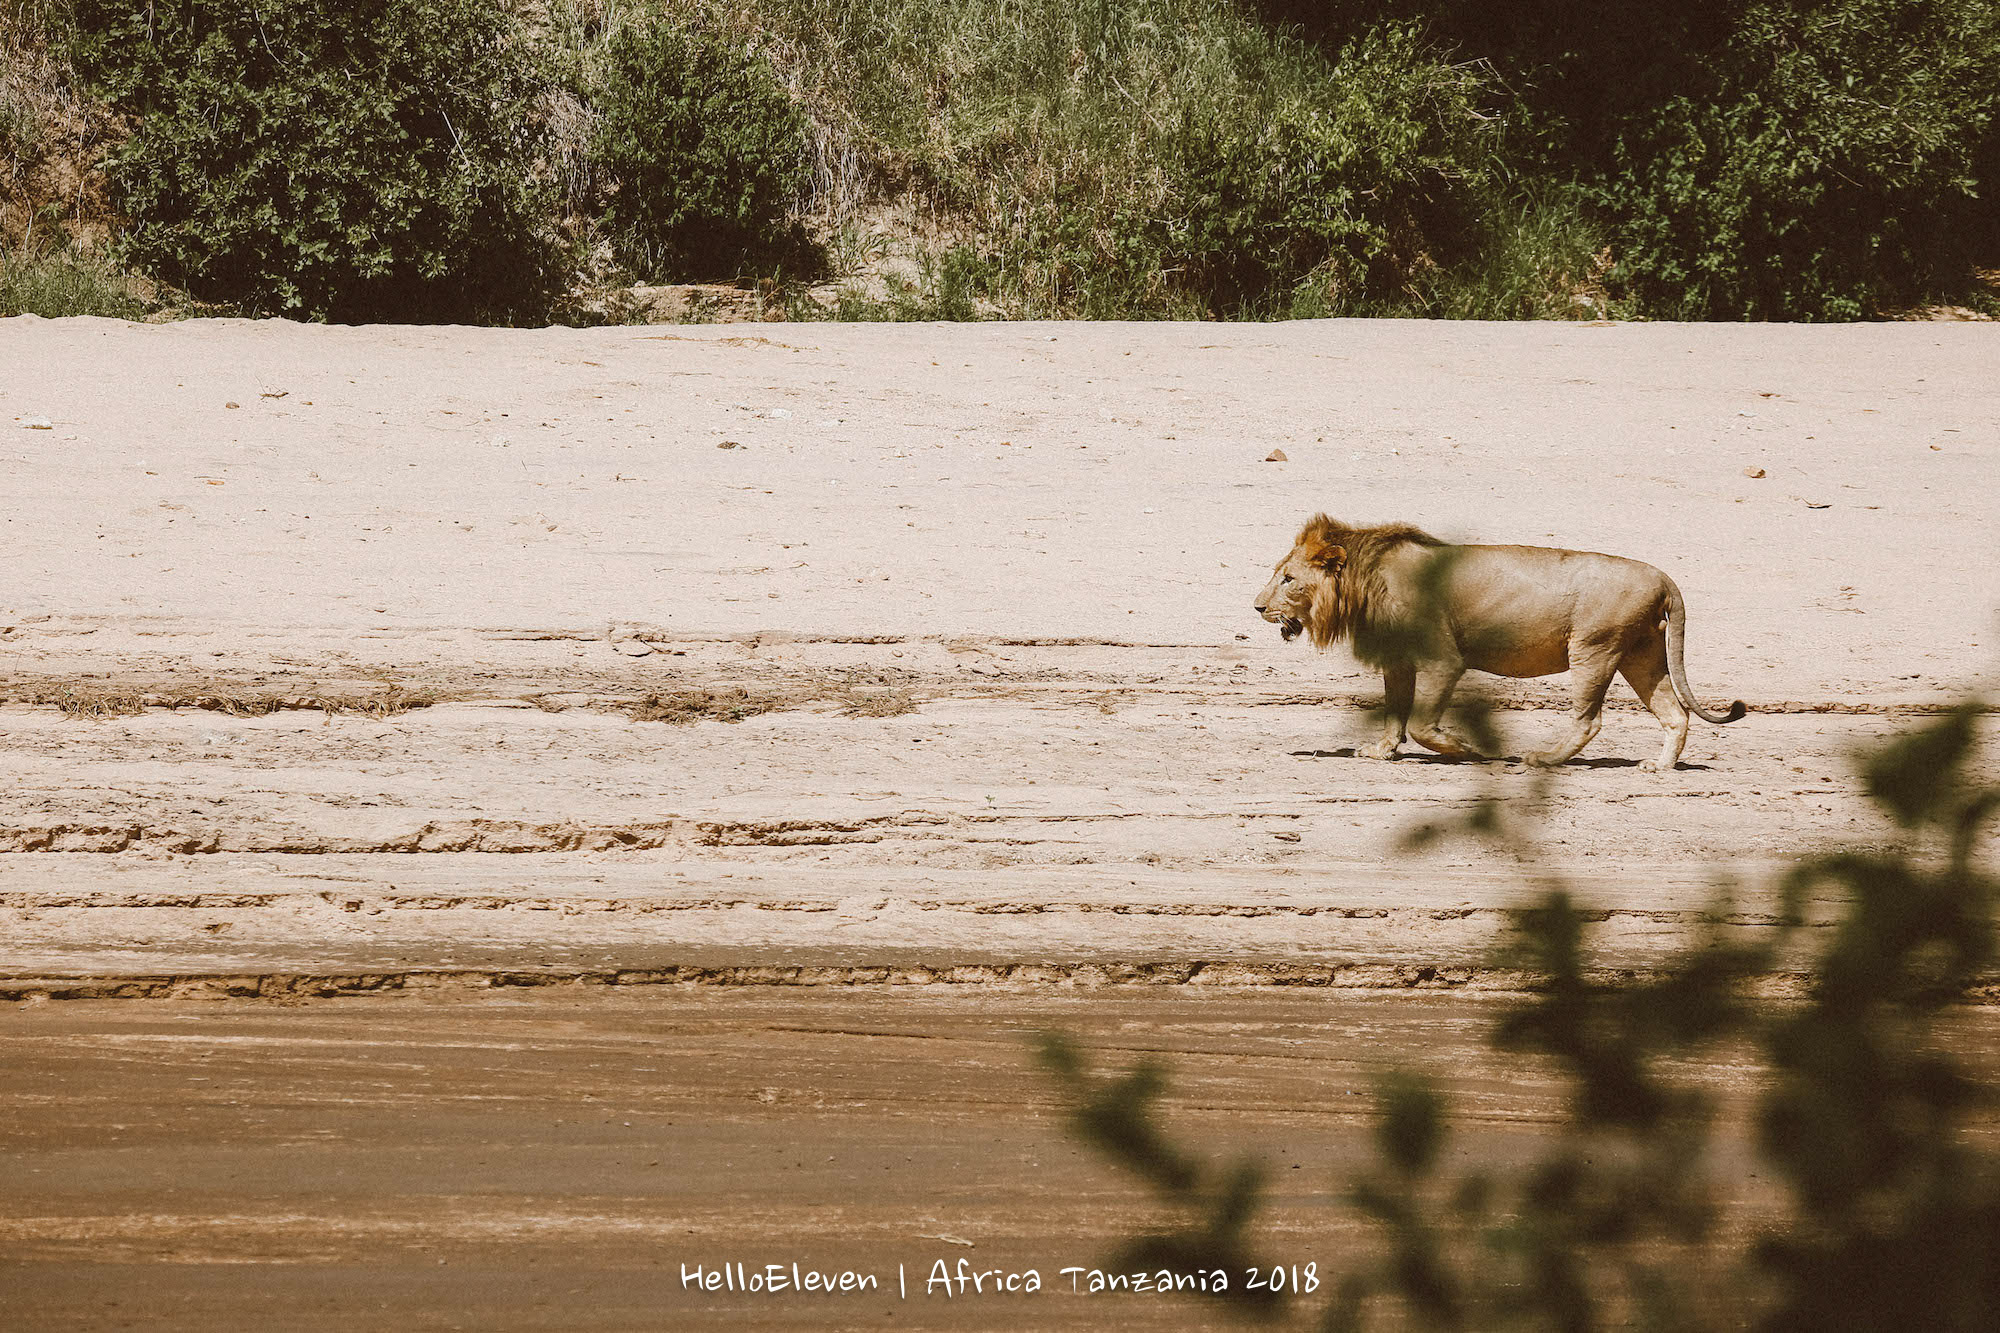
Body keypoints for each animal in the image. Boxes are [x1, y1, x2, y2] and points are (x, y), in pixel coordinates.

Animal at [1256, 512, 1744, 772]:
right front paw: (1380, 751)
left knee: (1589, 720)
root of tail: (1663, 577)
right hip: (1641, 654)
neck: (1364, 578)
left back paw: (1543, 759)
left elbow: (1421, 724)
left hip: (1594, 649)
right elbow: (1395, 714)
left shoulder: (1443, 660)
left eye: (1288, 579)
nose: (1258, 607)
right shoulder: (1398, 661)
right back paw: (1659, 767)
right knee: (1675, 714)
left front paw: (1467, 750)